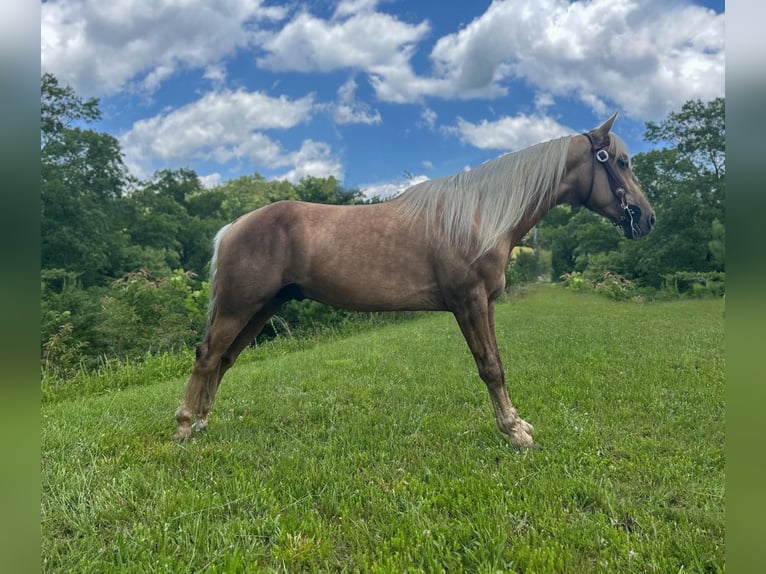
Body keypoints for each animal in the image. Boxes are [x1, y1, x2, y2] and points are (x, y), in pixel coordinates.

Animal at [176, 115, 660, 448]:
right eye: (620, 162)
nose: (647, 218)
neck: (479, 216)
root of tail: (234, 226)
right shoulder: (468, 302)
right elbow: (489, 367)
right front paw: (513, 432)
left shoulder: (486, 303)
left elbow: (498, 364)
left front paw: (516, 422)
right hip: (239, 308)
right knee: (207, 356)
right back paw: (183, 426)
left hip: (262, 309)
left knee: (224, 359)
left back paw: (202, 421)